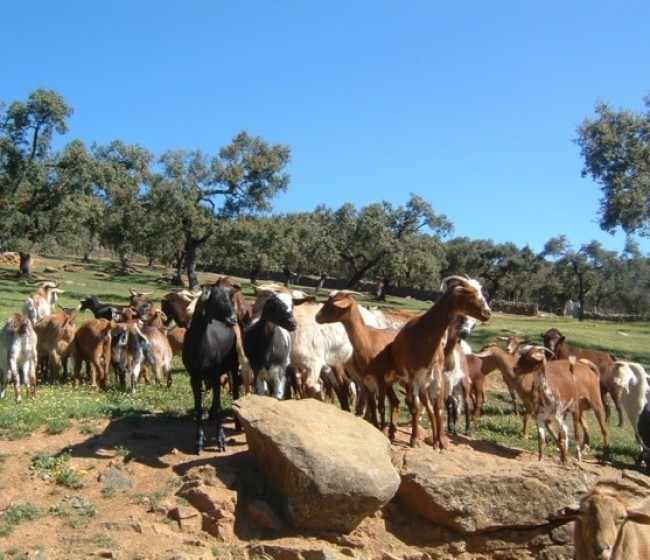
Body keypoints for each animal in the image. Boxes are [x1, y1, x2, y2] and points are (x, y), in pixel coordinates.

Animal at [182, 284, 238, 456]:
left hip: (233, 365)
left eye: (229, 299)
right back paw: (211, 417)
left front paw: (221, 441)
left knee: (235, 391)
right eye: (216, 300)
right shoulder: (194, 377)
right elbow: (198, 409)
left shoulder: (214, 374)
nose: (233, 319)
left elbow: (219, 406)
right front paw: (199, 442)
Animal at [378, 274, 488, 448]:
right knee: (396, 401)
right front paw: (414, 439)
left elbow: (437, 409)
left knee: (426, 406)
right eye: (469, 292)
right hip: (393, 379)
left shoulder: (436, 378)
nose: (487, 312)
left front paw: (441, 441)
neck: (424, 334)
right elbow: (415, 407)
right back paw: (388, 431)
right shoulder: (413, 378)